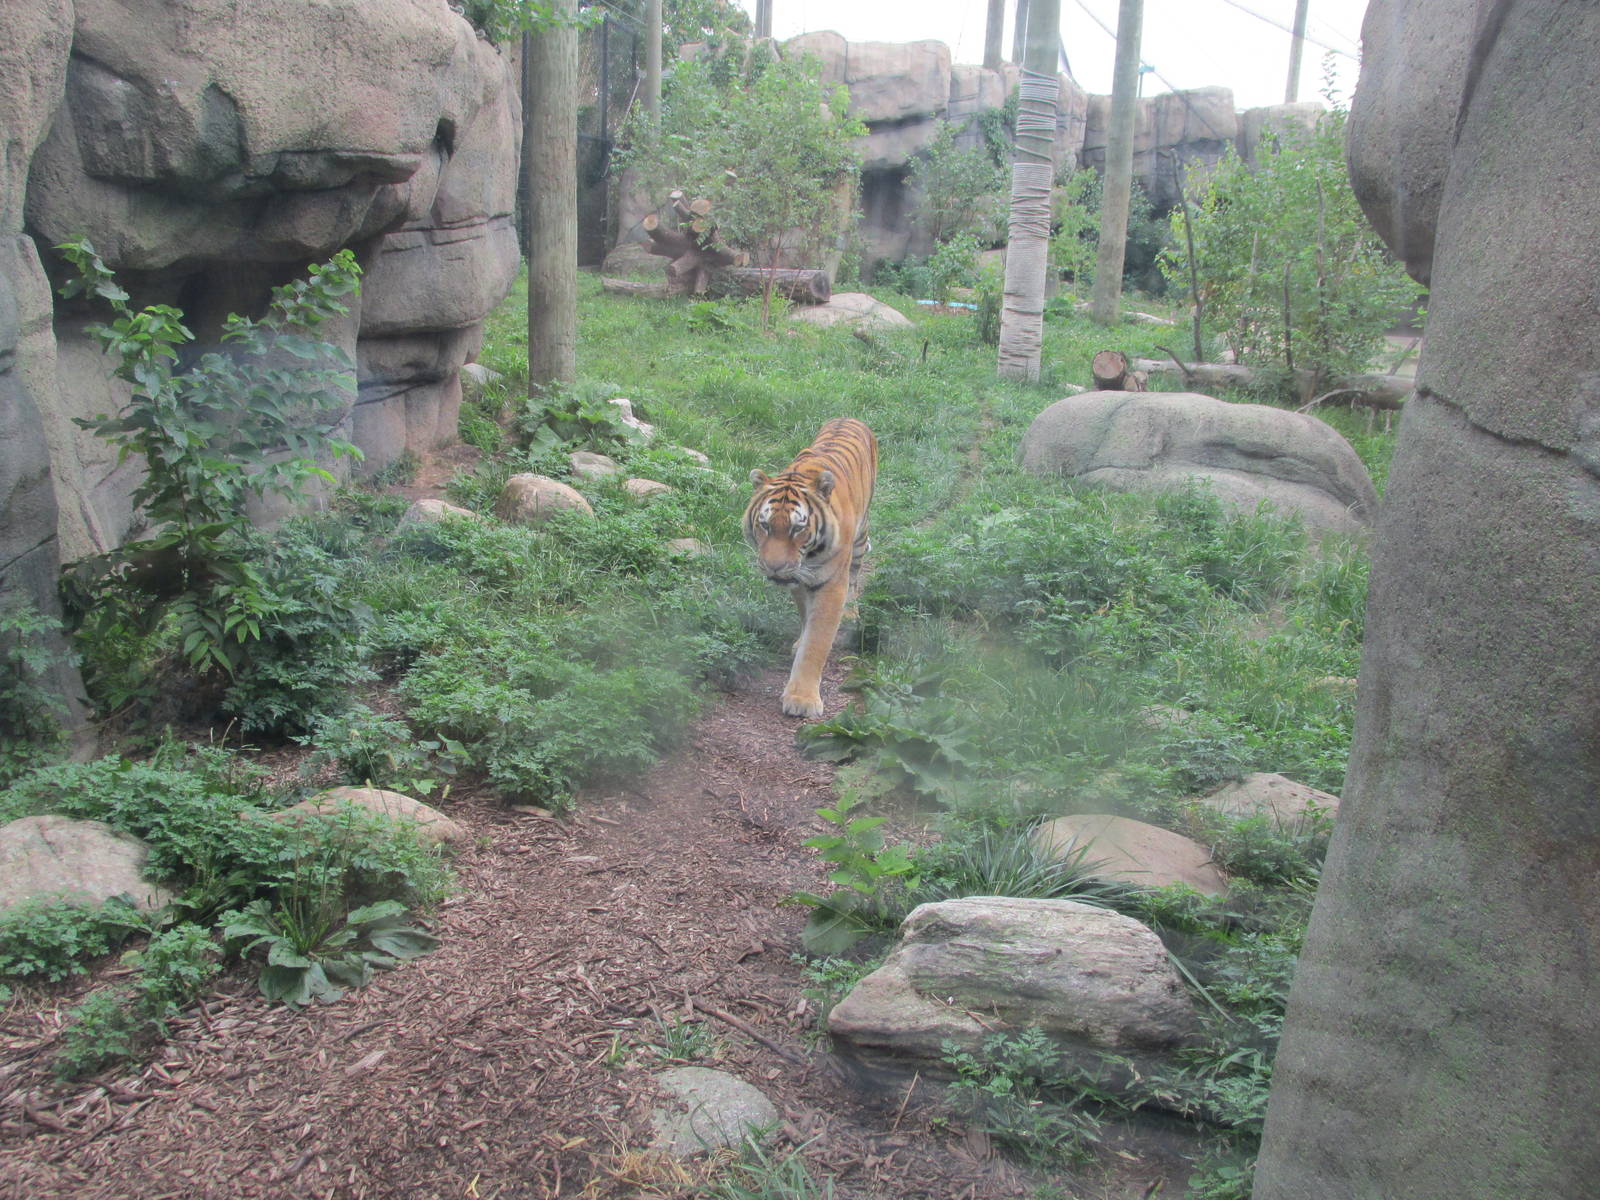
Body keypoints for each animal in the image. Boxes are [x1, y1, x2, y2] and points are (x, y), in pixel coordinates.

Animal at [744, 418, 878, 718]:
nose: (774, 567)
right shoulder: (798, 579)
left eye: (797, 528)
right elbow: (806, 619)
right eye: (765, 525)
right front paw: (799, 642)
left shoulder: (831, 584)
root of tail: (849, 417)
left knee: (855, 576)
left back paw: (850, 614)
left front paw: (802, 699)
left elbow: (817, 640)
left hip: (860, 538)